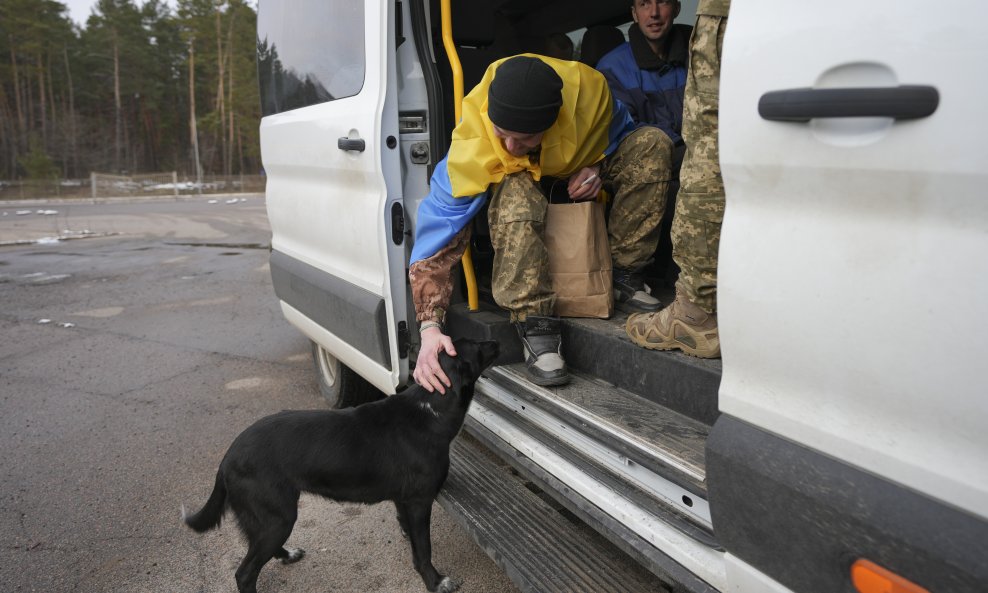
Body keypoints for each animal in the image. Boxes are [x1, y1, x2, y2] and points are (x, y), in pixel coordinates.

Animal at [180, 338, 498, 592]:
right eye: (477, 347)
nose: (495, 339)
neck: (431, 409)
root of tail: (227, 457)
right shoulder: (420, 501)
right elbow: (424, 550)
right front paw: (435, 582)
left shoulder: (403, 499)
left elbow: (407, 528)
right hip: (277, 516)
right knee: (244, 573)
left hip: (269, 518)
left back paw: (288, 555)